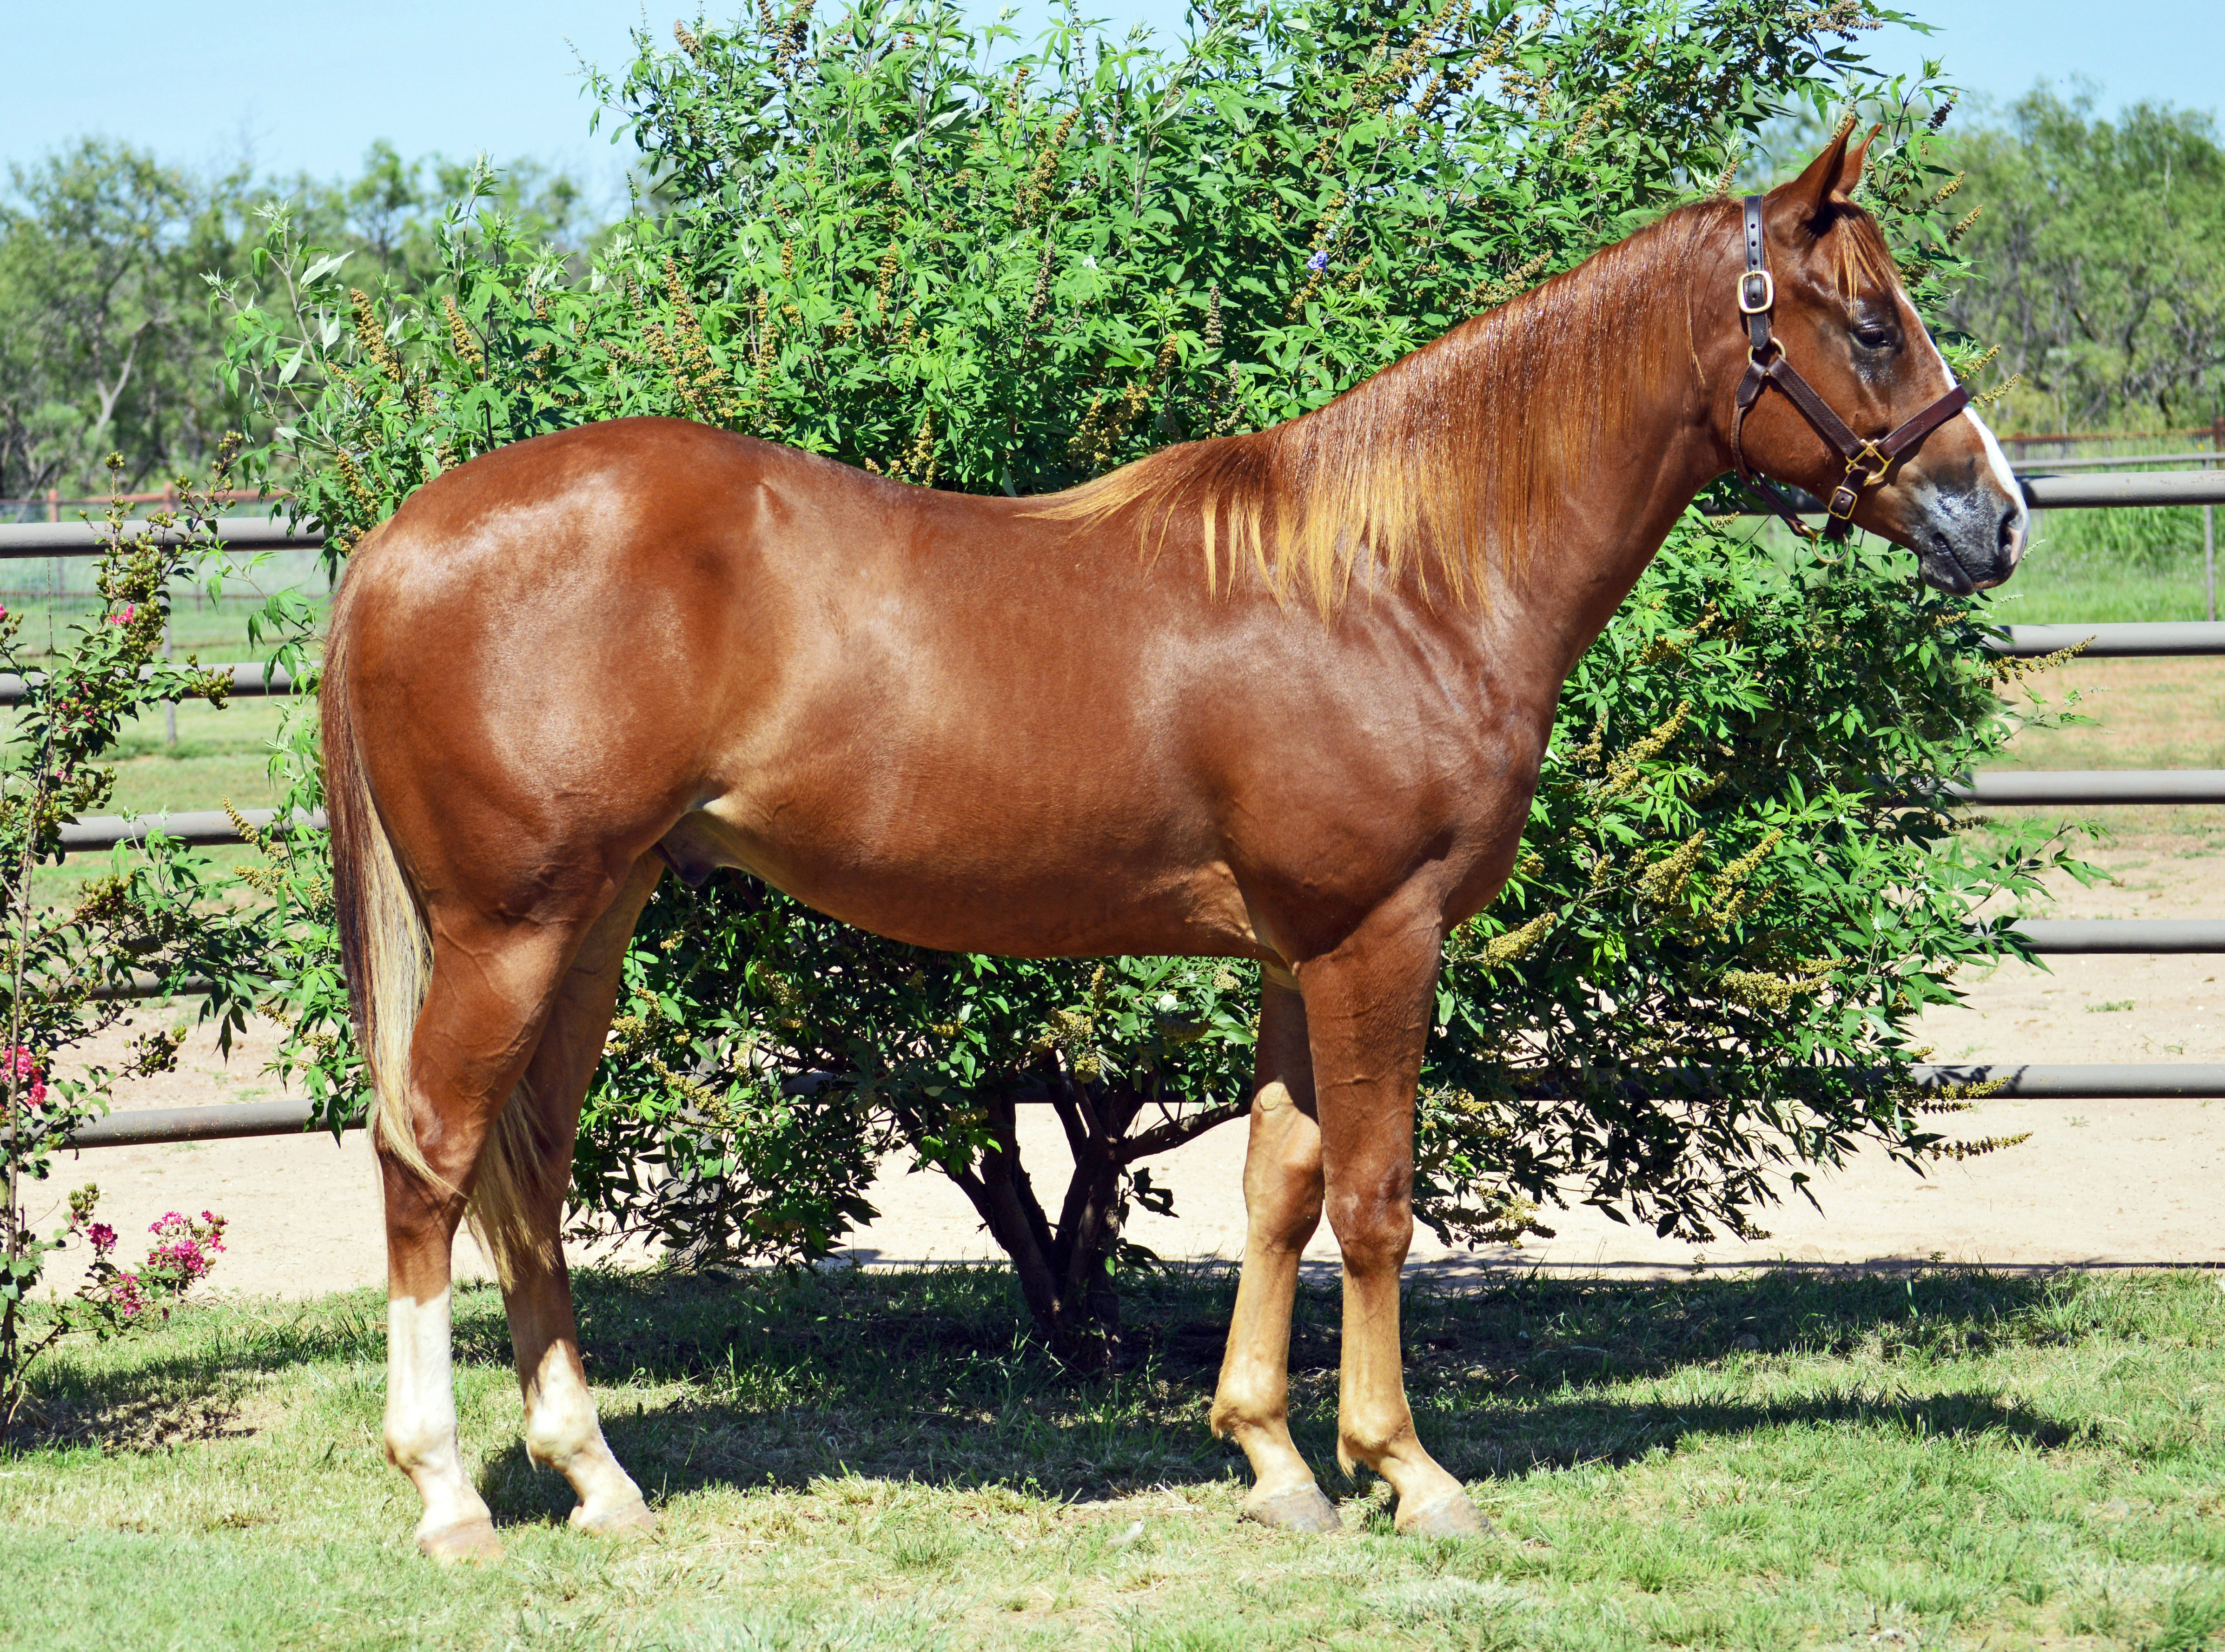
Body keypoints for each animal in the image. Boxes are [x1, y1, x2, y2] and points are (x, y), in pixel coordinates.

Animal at [324, 132, 2020, 1565]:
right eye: (1869, 324)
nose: (1997, 518)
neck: (1395, 580)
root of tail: (399, 539)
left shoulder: (1293, 952)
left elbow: (1278, 1185)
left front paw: (1272, 1460)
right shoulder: (1378, 935)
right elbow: (1375, 1198)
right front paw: (1409, 1471)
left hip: (595, 922)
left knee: (528, 1172)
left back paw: (597, 1477)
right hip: (512, 928)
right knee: (429, 1158)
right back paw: (448, 1495)